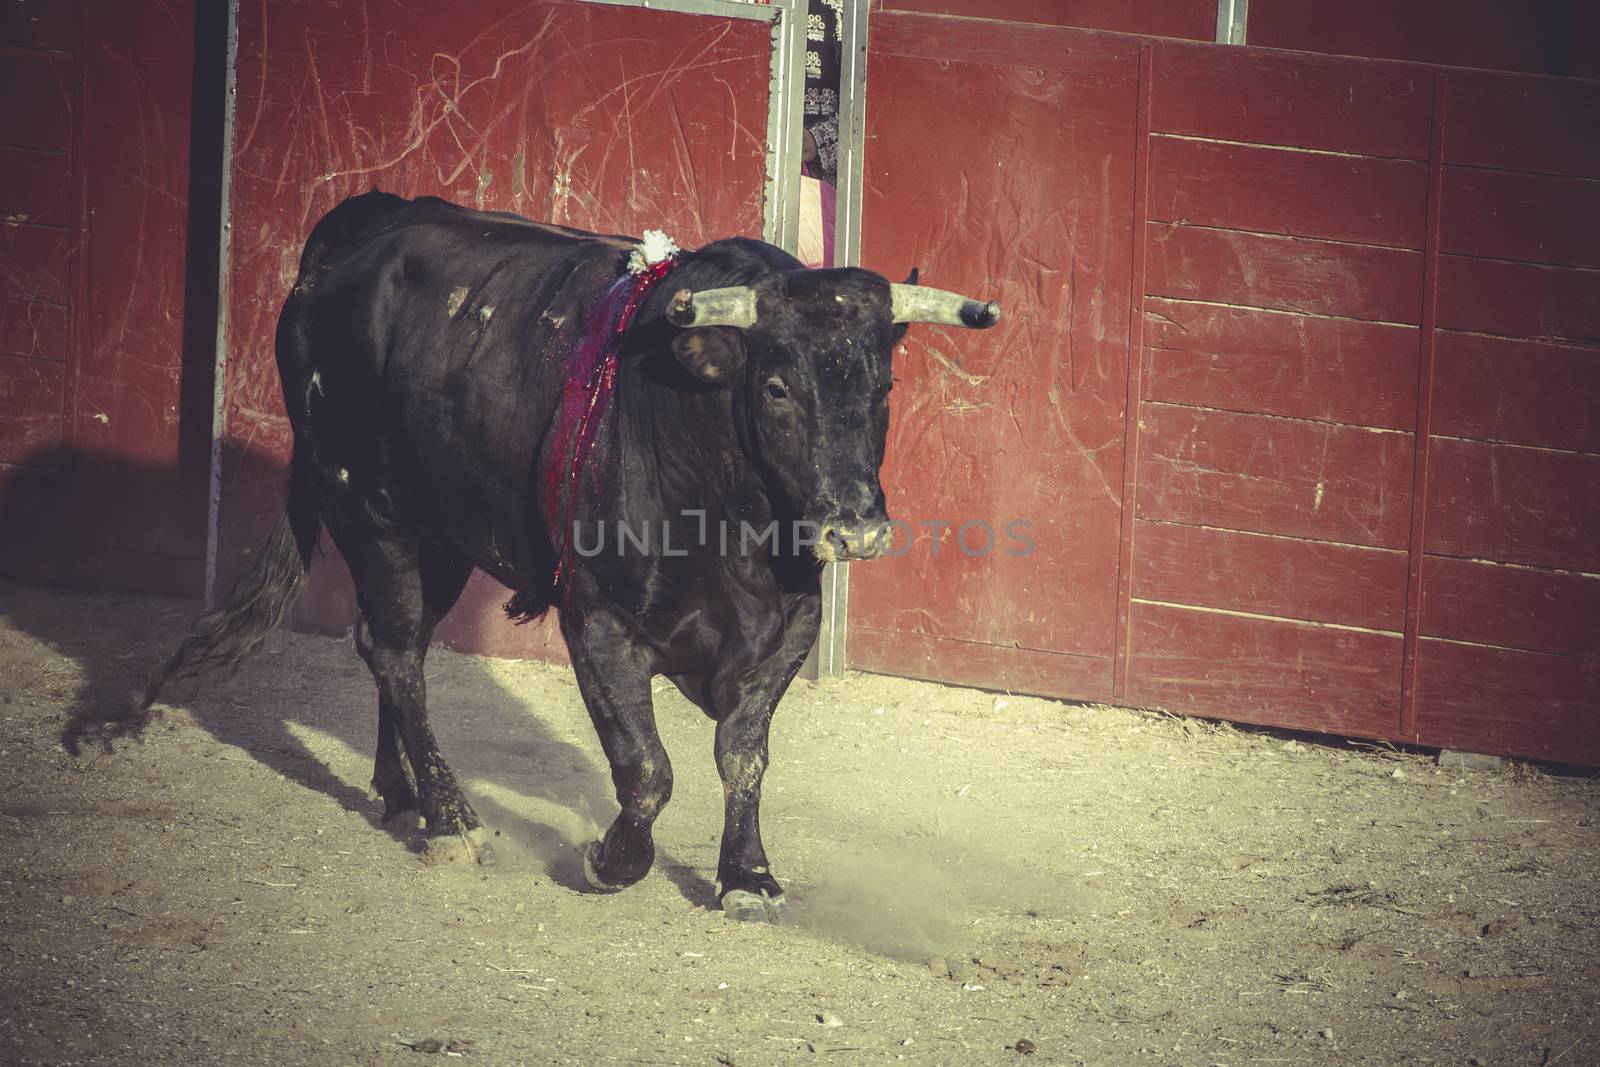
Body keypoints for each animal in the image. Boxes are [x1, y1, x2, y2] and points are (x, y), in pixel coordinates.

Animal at [150, 191, 998, 927]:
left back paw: (404, 796)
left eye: (884, 385)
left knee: (392, 645)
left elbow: (742, 755)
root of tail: (366, 224)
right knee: (395, 652)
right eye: (778, 387)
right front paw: (611, 861)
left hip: (441, 533)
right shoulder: (598, 622)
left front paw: (748, 877)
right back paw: (452, 821)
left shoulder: (789, 627)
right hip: (368, 510)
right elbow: (647, 767)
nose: (855, 528)